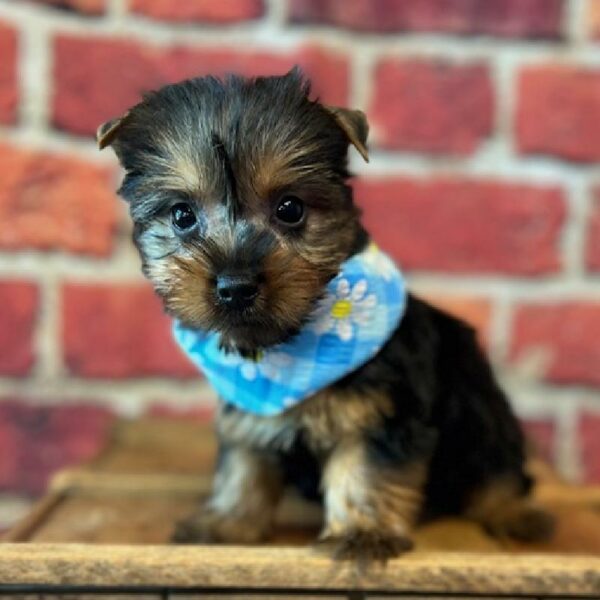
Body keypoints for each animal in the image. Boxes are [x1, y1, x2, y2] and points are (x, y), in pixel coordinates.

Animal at [97, 68, 552, 560]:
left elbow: (364, 468)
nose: (235, 287)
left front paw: (362, 531)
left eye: (290, 209)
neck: (290, 351)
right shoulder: (250, 410)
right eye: (182, 215)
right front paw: (227, 522)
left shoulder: (379, 411)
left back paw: (515, 513)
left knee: (497, 465)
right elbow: (244, 463)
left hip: (479, 401)